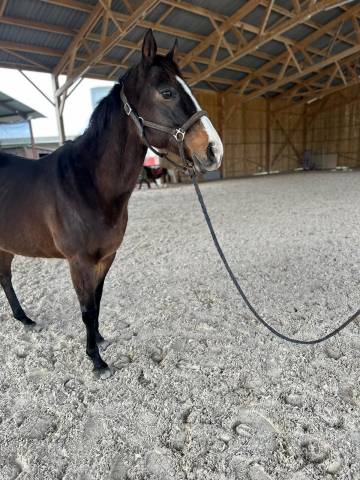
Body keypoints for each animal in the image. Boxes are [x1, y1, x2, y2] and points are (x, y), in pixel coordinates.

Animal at [0, 30, 222, 378]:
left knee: (5, 278)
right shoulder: (79, 262)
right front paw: (96, 360)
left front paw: (100, 340)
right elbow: (87, 309)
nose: (214, 150)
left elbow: (97, 302)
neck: (87, 183)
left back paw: (24, 318)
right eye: (167, 92)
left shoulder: (105, 257)